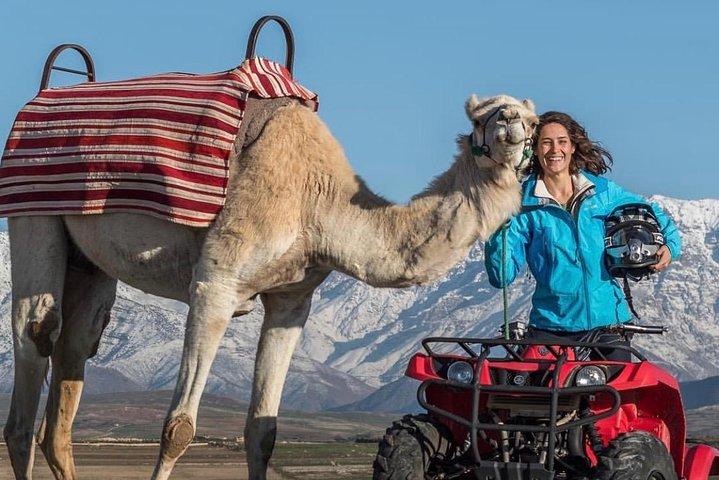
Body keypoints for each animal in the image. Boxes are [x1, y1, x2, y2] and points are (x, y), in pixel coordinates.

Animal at [3, 92, 537, 480]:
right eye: (483, 117)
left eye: (531, 118)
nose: (512, 123)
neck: (318, 203)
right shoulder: (216, 284)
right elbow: (178, 428)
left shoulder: (293, 299)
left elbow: (264, 431)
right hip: (32, 212)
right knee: (36, 336)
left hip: (90, 260)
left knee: (76, 351)